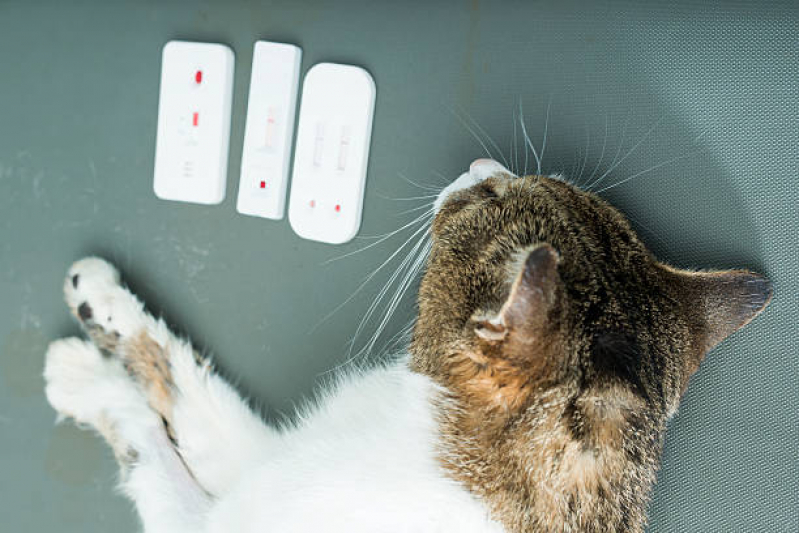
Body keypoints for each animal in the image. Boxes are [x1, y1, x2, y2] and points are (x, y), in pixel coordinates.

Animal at [40, 159, 772, 532]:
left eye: (487, 194)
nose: (482, 163)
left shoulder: (218, 513)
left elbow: (156, 431)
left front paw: (83, 372)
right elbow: (179, 384)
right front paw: (98, 318)